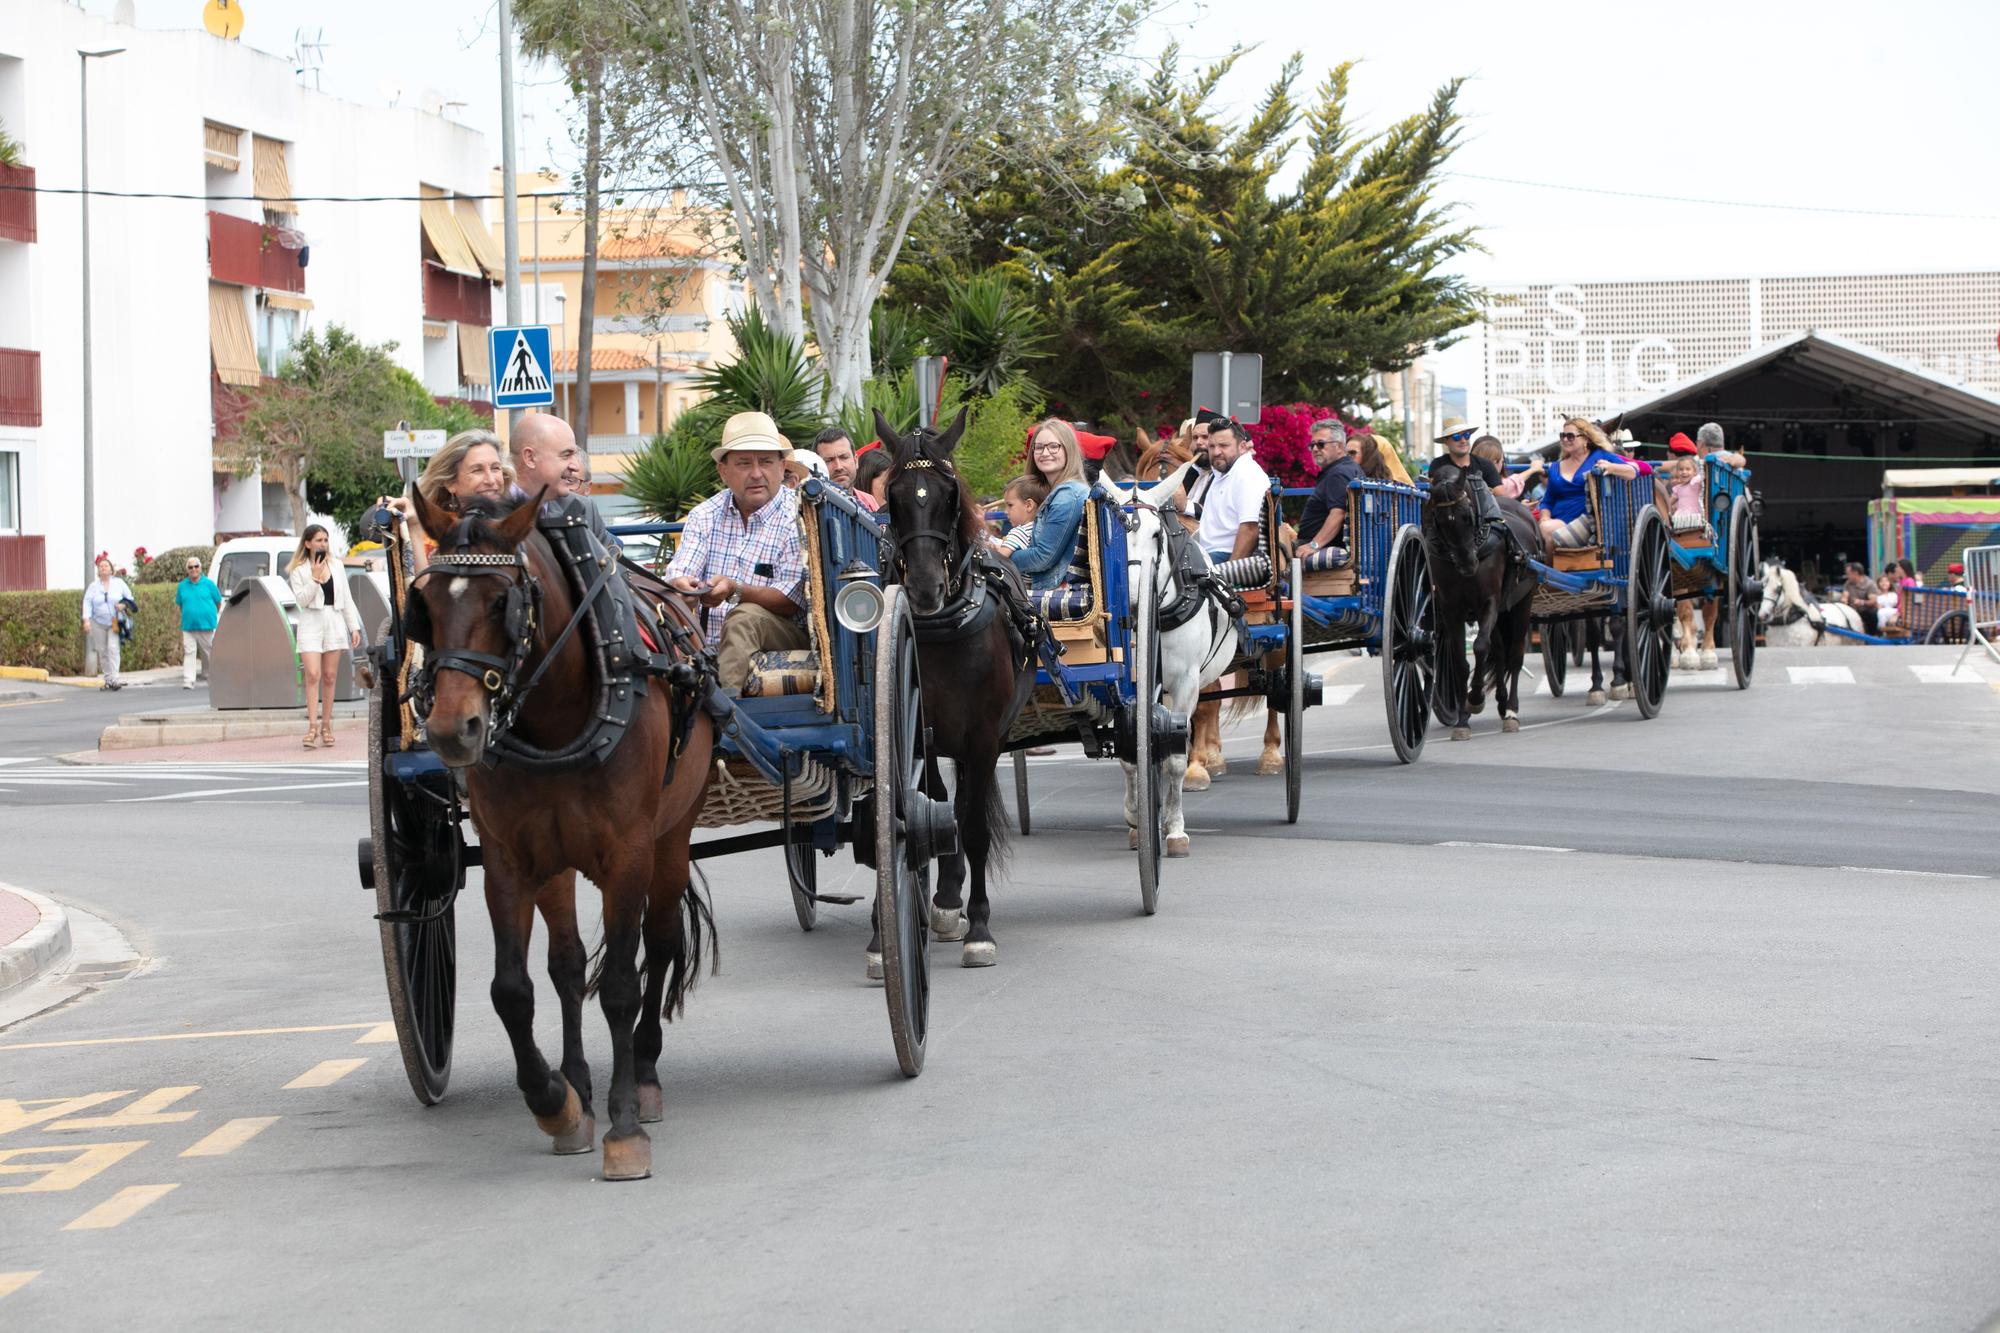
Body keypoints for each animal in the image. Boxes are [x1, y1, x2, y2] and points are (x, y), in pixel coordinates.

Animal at [402, 486, 716, 1176]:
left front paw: (624, 1127)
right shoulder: (510, 861)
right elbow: (514, 989)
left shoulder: (629, 854)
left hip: (671, 838)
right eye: (424, 605)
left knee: (659, 945)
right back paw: (578, 1084)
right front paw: (555, 1100)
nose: (451, 730)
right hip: (559, 862)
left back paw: (643, 1073)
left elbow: (622, 986)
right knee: (567, 966)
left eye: (503, 602)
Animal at [872, 404, 1032, 964]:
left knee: (963, 807)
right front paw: (937, 902)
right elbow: (928, 813)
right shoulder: (916, 732)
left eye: (948, 496)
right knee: (943, 804)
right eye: (893, 498)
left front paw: (979, 927)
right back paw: (943, 896)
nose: (924, 588)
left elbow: (975, 826)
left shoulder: (984, 737)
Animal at [1096, 466, 1232, 856]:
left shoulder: (1186, 684)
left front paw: (1174, 829)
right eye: (1114, 533)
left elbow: (1174, 759)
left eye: (1156, 535)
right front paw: (1136, 817)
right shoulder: (1125, 685)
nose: (1132, 602)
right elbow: (1131, 754)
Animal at [1424, 462, 1544, 736]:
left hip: (1522, 603)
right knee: (1498, 652)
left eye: (1467, 515)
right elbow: (1460, 660)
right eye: (1438, 520)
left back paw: (1511, 710)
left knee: (1514, 655)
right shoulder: (1451, 610)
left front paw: (1476, 698)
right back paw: (1500, 702)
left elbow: (1479, 646)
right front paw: (1462, 717)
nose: (1467, 564)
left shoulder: (1489, 603)